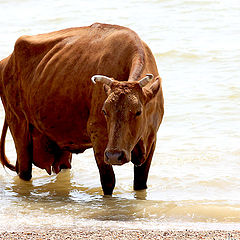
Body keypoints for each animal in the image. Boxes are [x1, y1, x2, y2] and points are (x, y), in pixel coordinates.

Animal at [0, 23, 163, 195]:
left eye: (138, 111)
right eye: (104, 111)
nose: (114, 156)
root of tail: (7, 61)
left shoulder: (152, 140)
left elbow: (140, 183)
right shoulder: (98, 137)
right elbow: (108, 182)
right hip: (18, 125)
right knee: (24, 171)